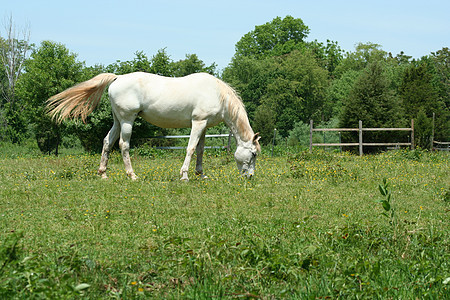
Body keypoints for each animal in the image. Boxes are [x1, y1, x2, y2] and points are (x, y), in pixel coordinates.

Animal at [46, 72, 260, 180]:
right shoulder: (198, 122)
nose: (250, 176)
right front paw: (184, 176)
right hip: (127, 120)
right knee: (123, 145)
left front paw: (201, 175)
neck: (216, 93)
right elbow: (190, 148)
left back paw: (103, 174)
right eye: (253, 154)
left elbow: (200, 150)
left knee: (107, 141)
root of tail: (117, 77)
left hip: (117, 121)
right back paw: (132, 175)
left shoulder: (204, 126)